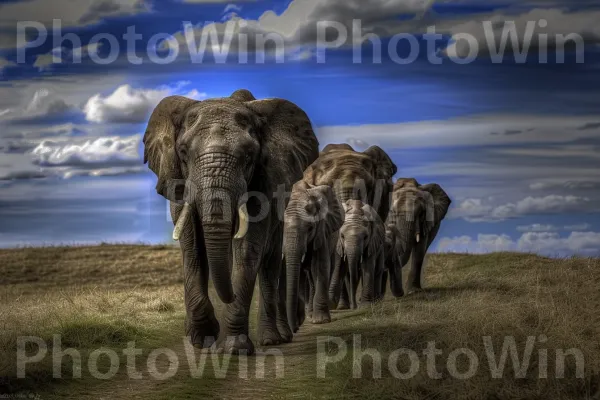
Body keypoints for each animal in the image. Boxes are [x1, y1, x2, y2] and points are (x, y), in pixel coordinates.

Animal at [142, 89, 318, 354]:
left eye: (248, 157)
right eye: (183, 153)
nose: (230, 296)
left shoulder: (263, 182)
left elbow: (247, 249)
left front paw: (234, 349)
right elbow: (192, 248)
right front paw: (202, 337)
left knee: (269, 264)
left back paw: (272, 340)